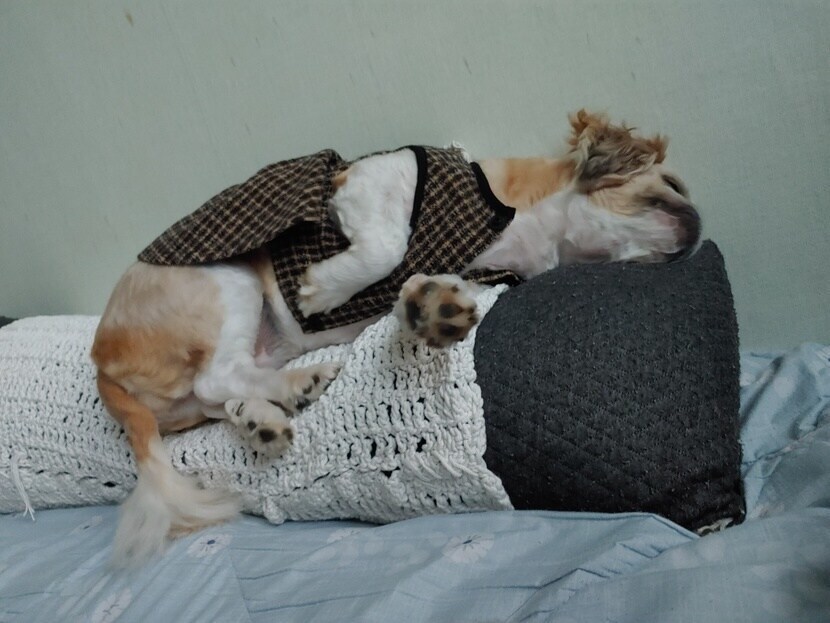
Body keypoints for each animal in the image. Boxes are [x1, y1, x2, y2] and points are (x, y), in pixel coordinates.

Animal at [91, 110, 700, 565]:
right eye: (672, 185)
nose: (696, 230)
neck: (527, 233)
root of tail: (102, 363)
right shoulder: (375, 179)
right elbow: (388, 245)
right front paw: (320, 290)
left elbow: (424, 287)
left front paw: (431, 308)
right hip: (226, 277)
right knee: (218, 376)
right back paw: (301, 381)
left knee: (222, 393)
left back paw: (269, 411)